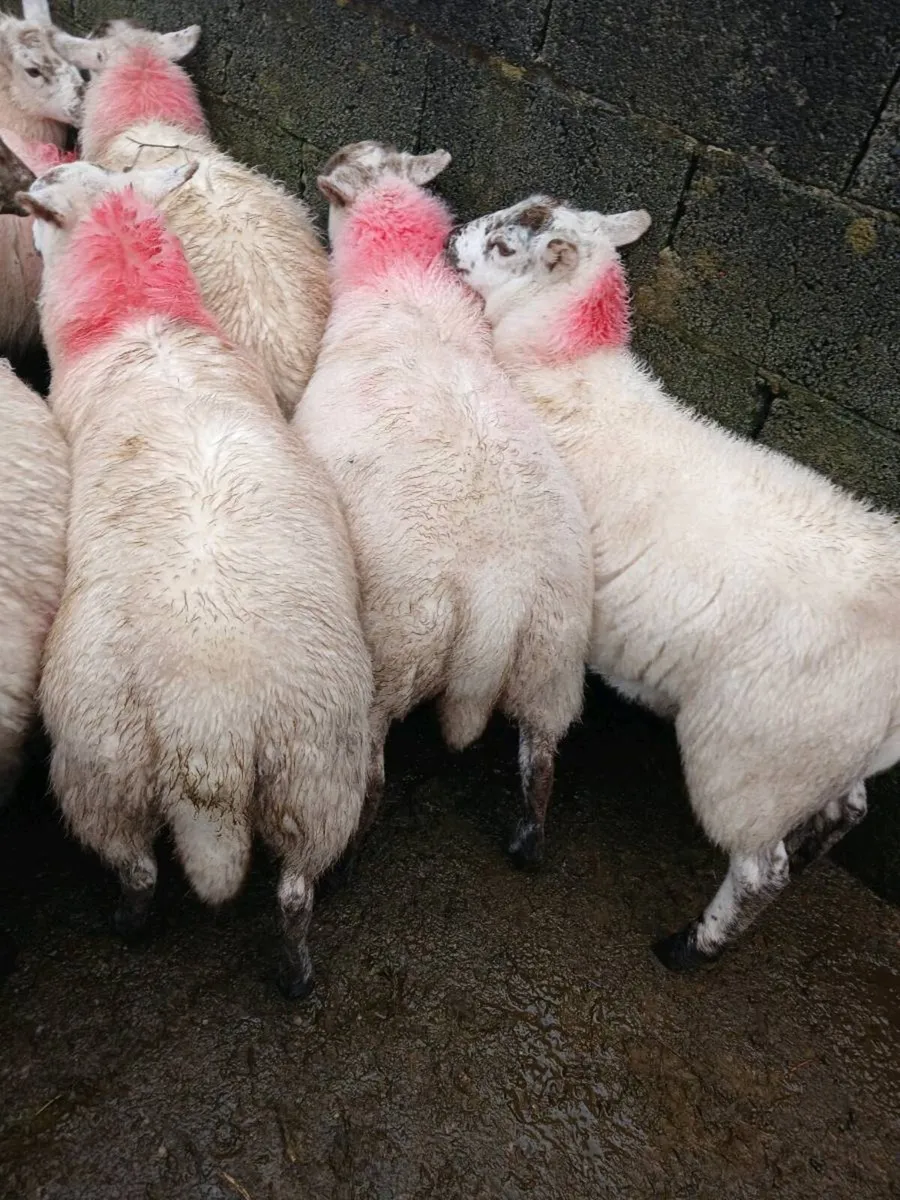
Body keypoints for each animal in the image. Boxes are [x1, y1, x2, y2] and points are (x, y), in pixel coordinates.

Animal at [18, 159, 373, 997]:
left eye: (45, 207)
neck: (142, 321)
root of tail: (208, 726)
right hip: (318, 763)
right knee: (296, 887)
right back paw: (297, 970)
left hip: (100, 765)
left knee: (139, 868)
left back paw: (128, 924)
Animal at [294, 142, 592, 870]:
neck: (402, 277)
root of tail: (500, 601)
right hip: (552, 661)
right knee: (541, 760)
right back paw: (527, 844)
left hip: (398, 648)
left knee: (373, 759)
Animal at [447, 196, 900, 969]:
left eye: (505, 246)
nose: (450, 237)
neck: (566, 368)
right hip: (821, 751)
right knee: (850, 809)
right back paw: (812, 853)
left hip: (753, 753)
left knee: (760, 868)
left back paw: (692, 947)